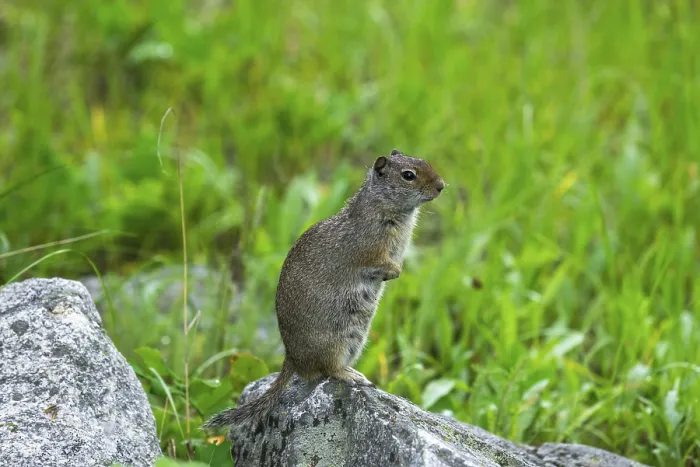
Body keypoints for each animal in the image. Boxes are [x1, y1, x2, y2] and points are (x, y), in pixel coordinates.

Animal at [203, 149, 444, 430]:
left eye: (424, 162)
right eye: (408, 175)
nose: (441, 186)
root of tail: (292, 359)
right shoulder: (371, 249)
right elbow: (380, 262)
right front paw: (394, 273)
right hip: (336, 344)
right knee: (329, 370)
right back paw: (352, 376)